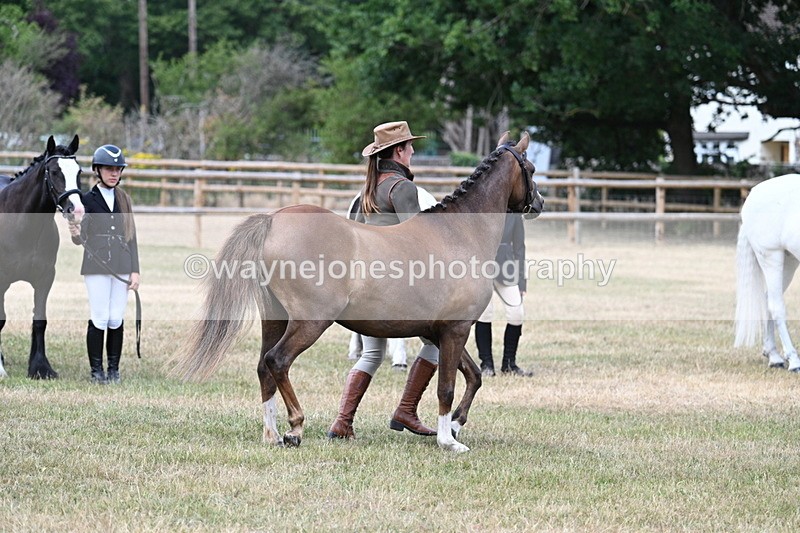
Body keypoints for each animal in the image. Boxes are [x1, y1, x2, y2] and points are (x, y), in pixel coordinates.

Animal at [0, 135, 84, 379]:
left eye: (79, 171)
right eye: (55, 172)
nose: (77, 210)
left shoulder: (45, 278)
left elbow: (40, 321)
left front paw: (40, 367)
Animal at [177, 132, 544, 453]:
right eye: (530, 168)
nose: (538, 202)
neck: (460, 232)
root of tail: (274, 220)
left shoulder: (439, 332)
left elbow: (474, 376)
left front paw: (453, 425)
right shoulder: (455, 330)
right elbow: (447, 387)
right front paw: (448, 440)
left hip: (274, 319)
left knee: (263, 368)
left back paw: (273, 434)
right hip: (310, 323)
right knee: (277, 360)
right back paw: (295, 428)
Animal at [735, 174, 800, 372]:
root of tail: (754, 193)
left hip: (789, 261)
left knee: (767, 299)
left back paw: (773, 355)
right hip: (771, 256)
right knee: (776, 306)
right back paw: (793, 361)